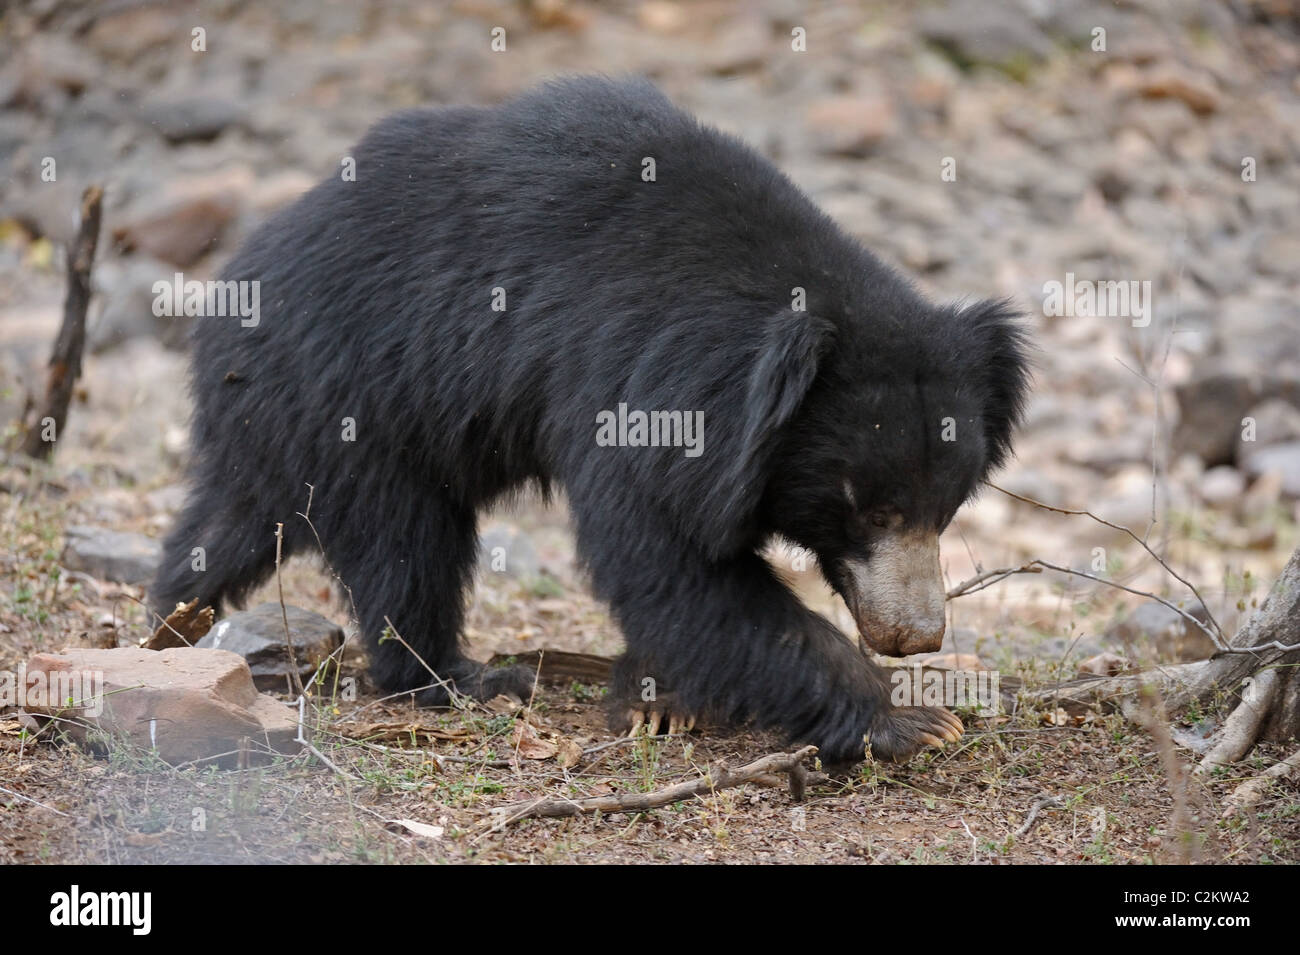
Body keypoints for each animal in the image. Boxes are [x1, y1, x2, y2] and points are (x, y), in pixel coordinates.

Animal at [149, 72, 1024, 764]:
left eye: (947, 508)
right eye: (872, 507)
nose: (916, 635)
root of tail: (232, 292)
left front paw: (658, 698)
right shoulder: (638, 390)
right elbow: (670, 560)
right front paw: (911, 719)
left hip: (287, 416)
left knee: (228, 521)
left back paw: (171, 624)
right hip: (357, 398)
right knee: (406, 549)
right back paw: (463, 679)